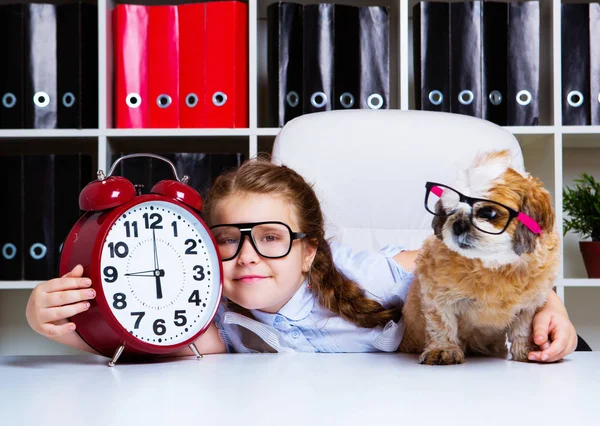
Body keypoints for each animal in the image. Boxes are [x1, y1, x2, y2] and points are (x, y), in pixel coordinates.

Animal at [398, 149, 564, 362]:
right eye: (449, 211)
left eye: (489, 213)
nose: (458, 224)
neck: (495, 267)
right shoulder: (437, 296)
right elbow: (441, 324)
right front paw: (443, 349)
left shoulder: (527, 307)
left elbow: (522, 329)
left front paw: (525, 350)